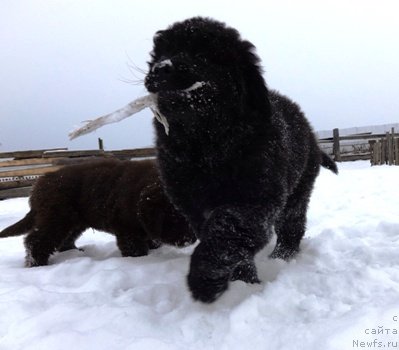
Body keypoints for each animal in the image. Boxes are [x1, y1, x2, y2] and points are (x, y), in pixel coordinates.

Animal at [0, 158, 197, 266]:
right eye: (174, 217)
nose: (191, 239)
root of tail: (39, 184)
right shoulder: (127, 230)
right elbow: (135, 248)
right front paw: (139, 260)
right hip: (56, 217)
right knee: (36, 240)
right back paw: (37, 264)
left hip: (74, 221)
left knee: (65, 239)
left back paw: (75, 252)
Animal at [145, 16, 340, 302]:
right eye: (161, 53)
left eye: (202, 54)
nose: (161, 68)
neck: (206, 146)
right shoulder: (191, 204)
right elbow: (226, 239)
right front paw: (242, 282)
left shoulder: (256, 198)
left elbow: (227, 231)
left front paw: (207, 281)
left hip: (298, 189)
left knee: (292, 224)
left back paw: (281, 258)